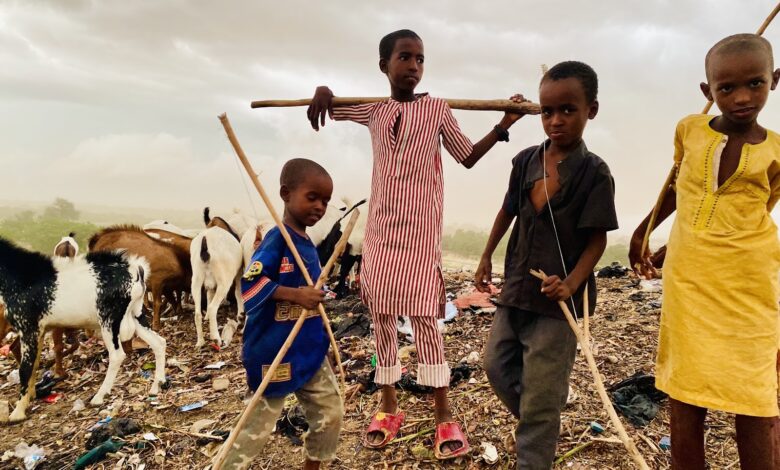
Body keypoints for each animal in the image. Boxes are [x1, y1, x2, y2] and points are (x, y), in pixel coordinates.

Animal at [0, 239, 165, 422]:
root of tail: (136, 269)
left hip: (109, 320)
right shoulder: (39, 331)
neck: (21, 279)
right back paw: (157, 385)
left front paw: (17, 413)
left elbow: (24, 369)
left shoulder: (27, 327)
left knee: (117, 355)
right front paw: (31, 396)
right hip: (136, 313)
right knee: (158, 342)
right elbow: (34, 364)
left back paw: (99, 396)